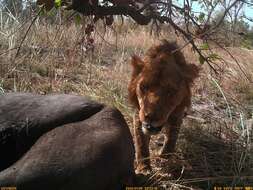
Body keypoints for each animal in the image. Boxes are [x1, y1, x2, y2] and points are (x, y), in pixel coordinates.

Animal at [128, 40, 200, 174]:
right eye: (143, 87)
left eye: (170, 91)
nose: (150, 117)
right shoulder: (138, 114)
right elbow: (141, 143)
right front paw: (144, 168)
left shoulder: (177, 115)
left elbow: (171, 139)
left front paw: (164, 159)